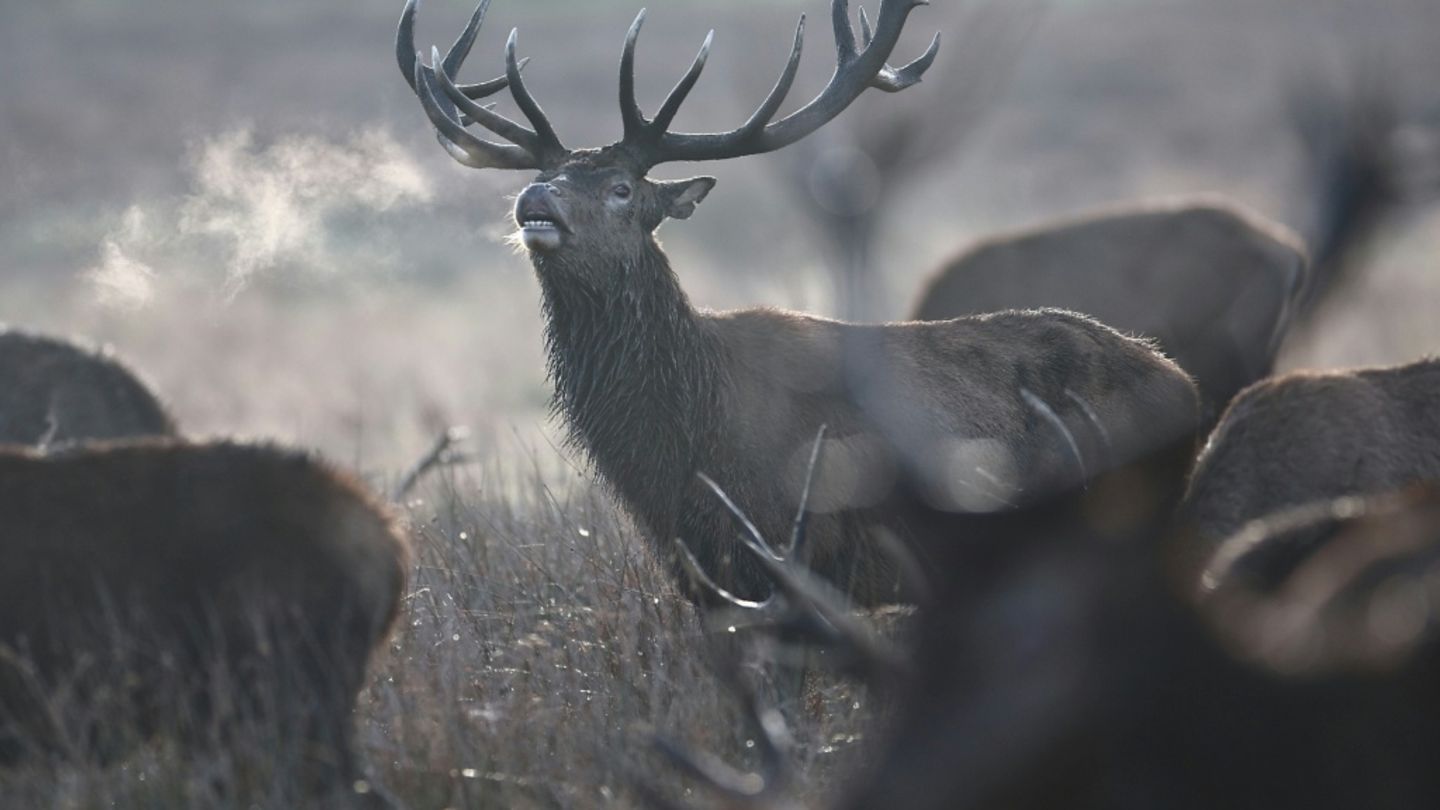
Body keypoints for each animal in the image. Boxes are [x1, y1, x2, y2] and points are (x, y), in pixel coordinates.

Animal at [397, 0, 1200, 605]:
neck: (683, 446)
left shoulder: (801, 557)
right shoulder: (704, 575)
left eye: (622, 188)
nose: (535, 200)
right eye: (548, 175)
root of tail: (1187, 385)